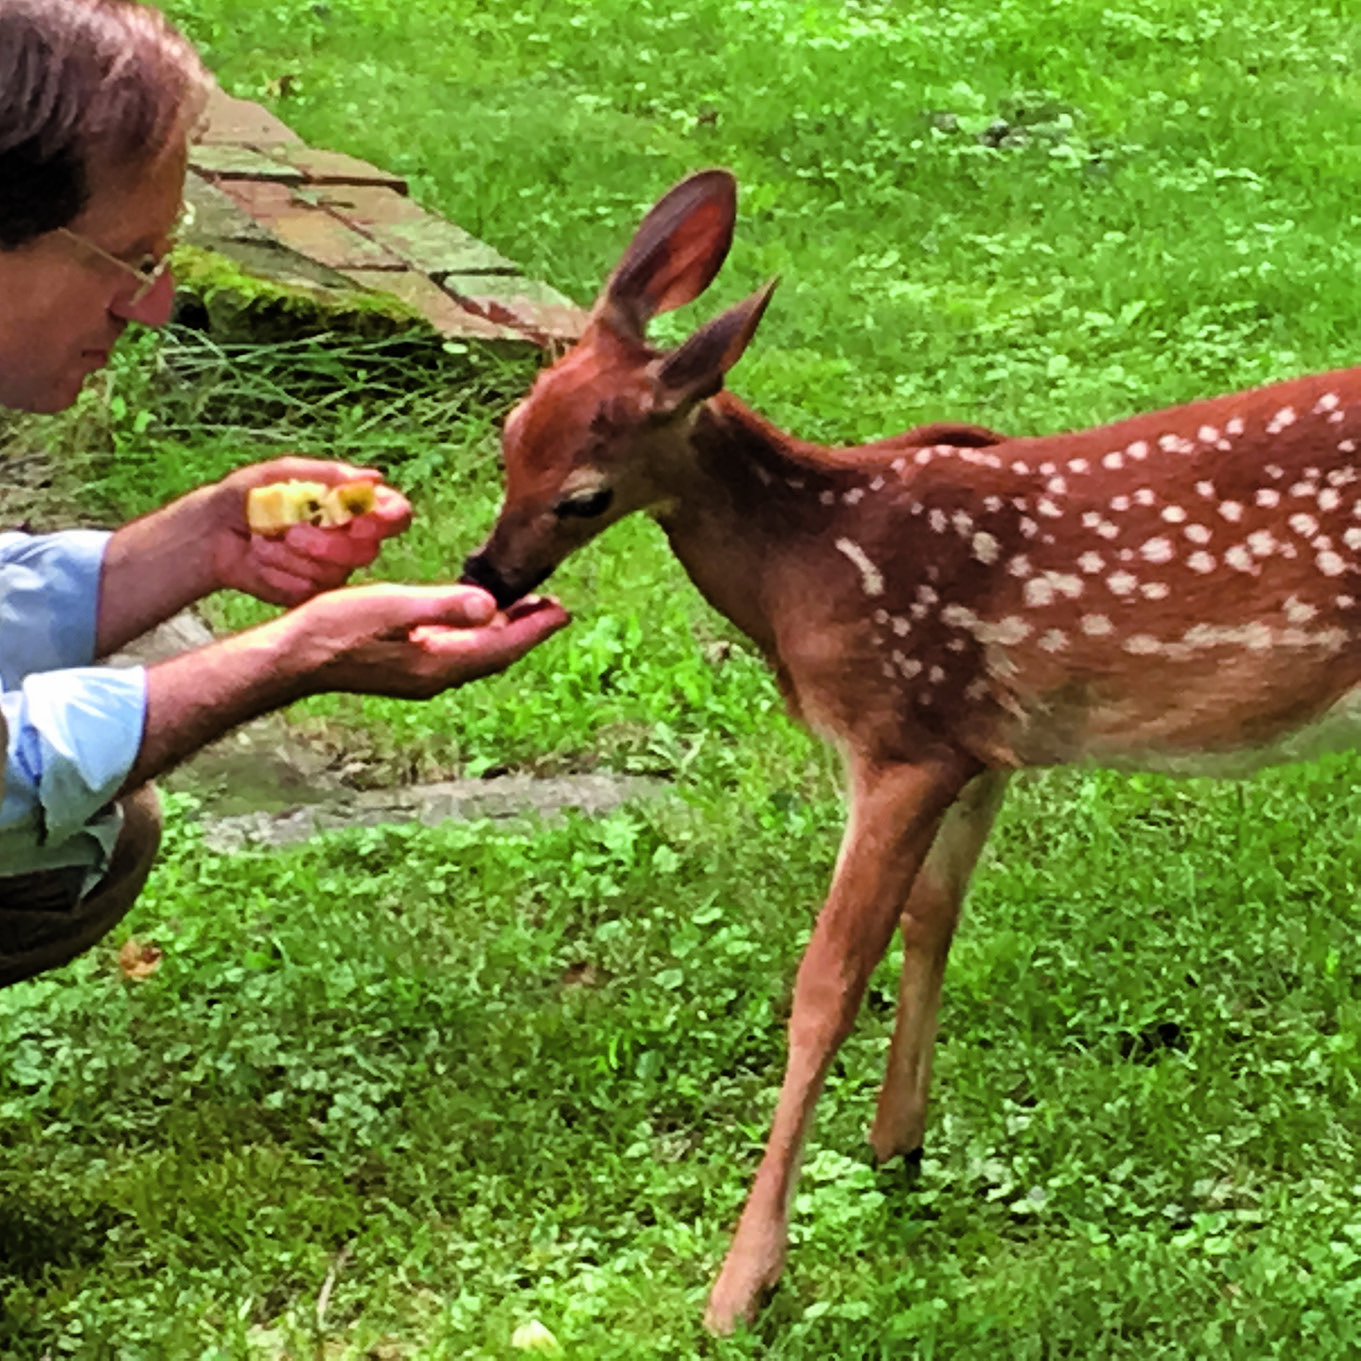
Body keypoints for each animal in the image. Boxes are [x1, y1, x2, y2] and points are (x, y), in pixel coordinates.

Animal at [460, 168, 1361, 1333]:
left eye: (583, 493)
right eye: (508, 434)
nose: (486, 574)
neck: (805, 561)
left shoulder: (897, 738)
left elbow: (826, 981)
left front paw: (742, 1279)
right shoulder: (977, 744)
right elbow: (934, 919)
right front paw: (898, 1141)